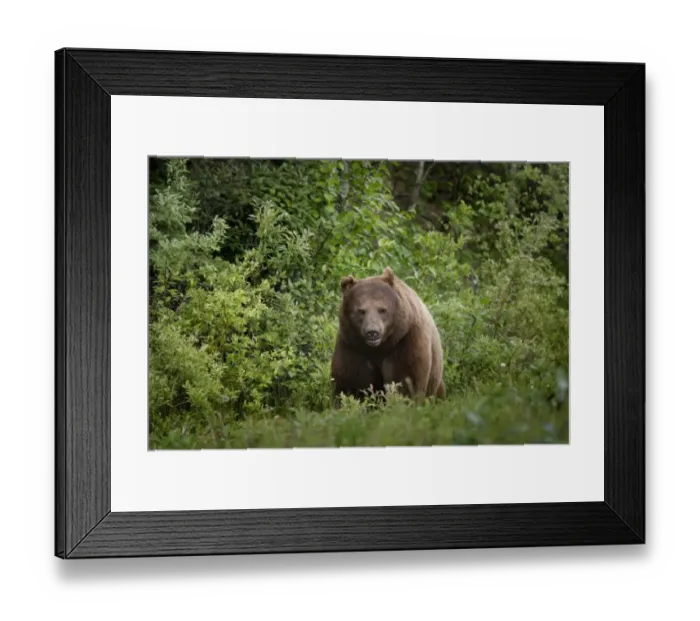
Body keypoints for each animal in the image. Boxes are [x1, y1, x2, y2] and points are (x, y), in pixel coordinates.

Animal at [330, 266, 445, 404]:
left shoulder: (406, 341)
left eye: (382, 309)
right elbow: (349, 383)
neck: (380, 348)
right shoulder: (352, 347)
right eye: (361, 311)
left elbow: (406, 381)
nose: (372, 332)